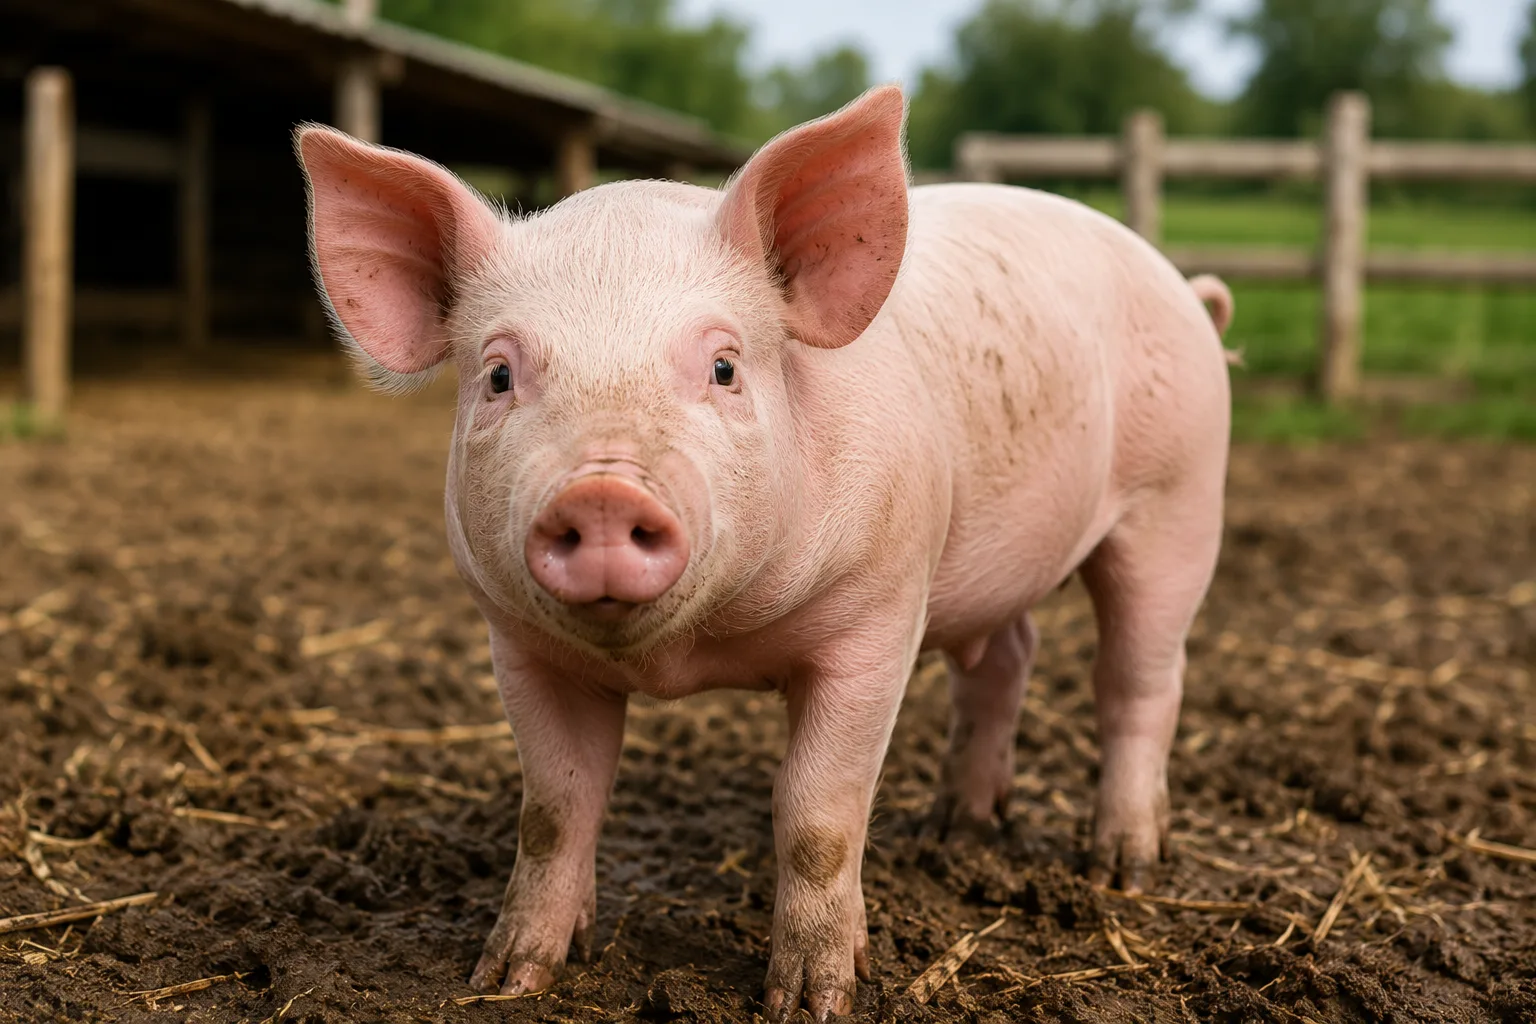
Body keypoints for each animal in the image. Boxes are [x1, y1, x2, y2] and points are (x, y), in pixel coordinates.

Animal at [296, 84, 1232, 1021]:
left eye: (723, 367)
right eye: (497, 375)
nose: (602, 492)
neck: (689, 655)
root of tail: (1186, 289)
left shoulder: (878, 613)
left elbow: (817, 811)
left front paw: (814, 1000)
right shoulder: (520, 645)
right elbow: (555, 808)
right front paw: (510, 977)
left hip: (1179, 499)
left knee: (1139, 677)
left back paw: (1123, 864)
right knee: (1006, 657)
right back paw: (953, 830)